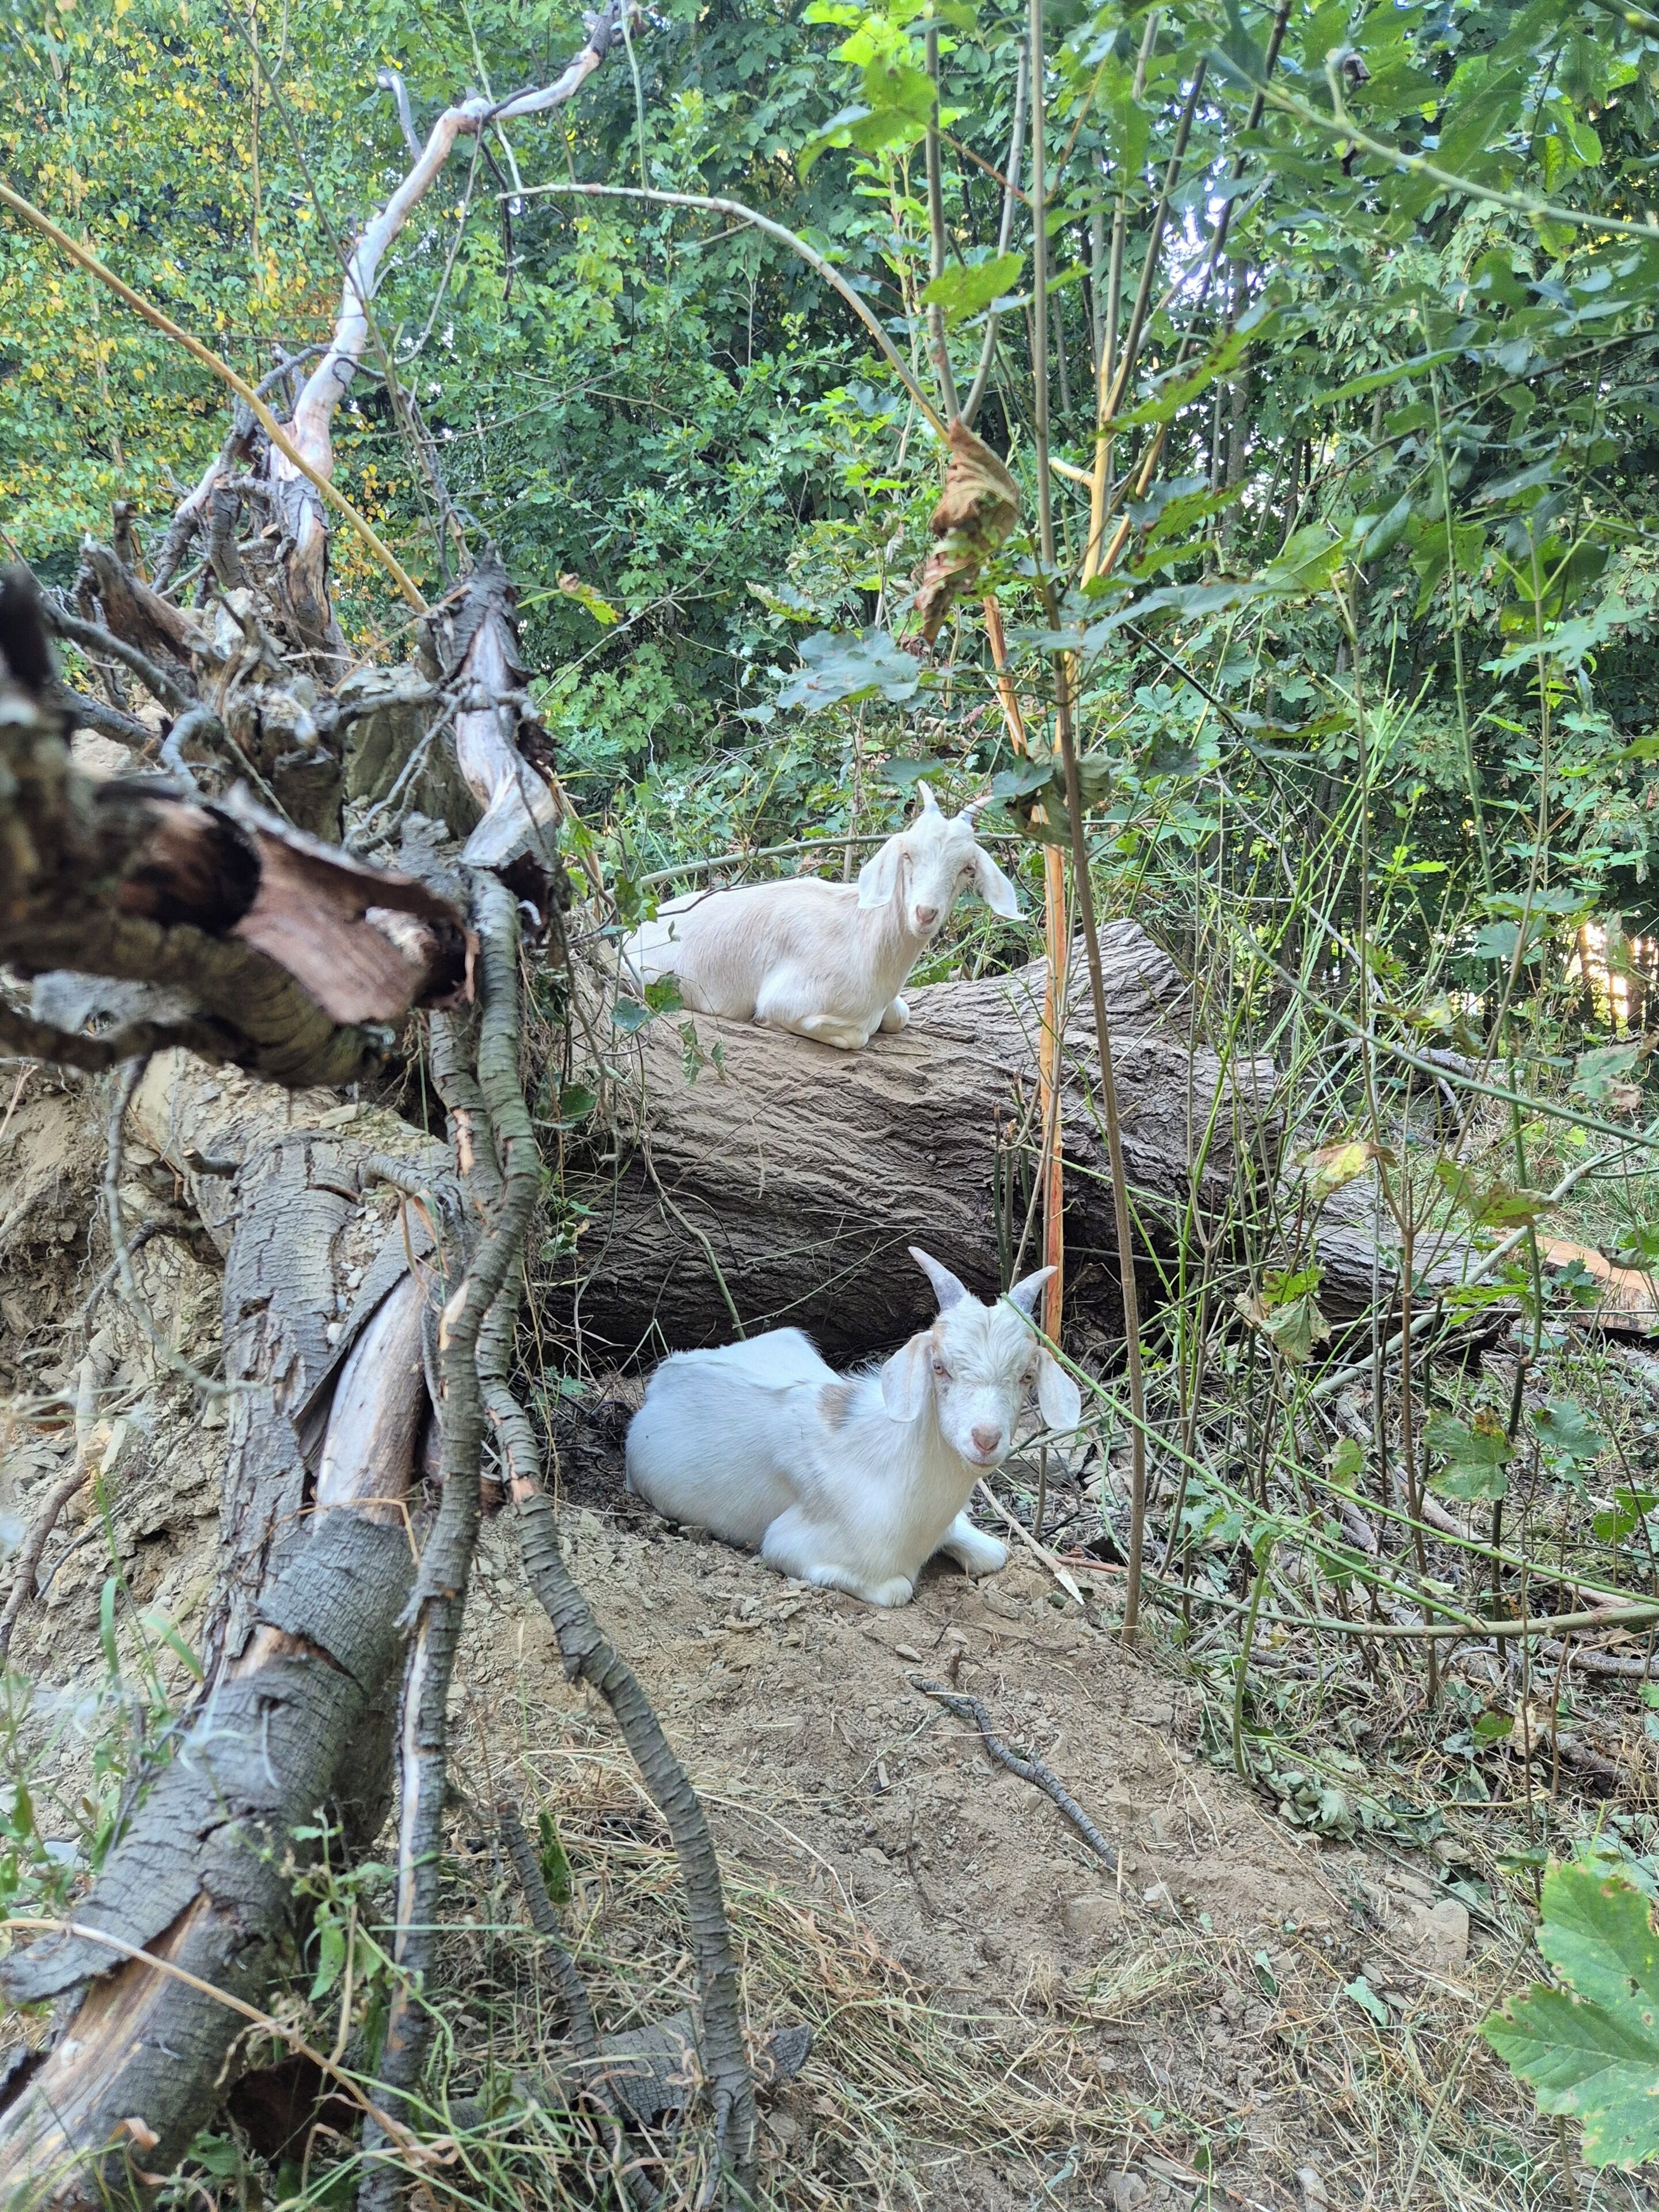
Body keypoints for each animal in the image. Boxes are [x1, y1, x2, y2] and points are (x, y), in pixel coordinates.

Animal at [621, 786, 1020, 1051]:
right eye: (908, 854)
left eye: (968, 868)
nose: (925, 913)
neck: (868, 945)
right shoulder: (790, 1000)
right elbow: (857, 1036)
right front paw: (768, 1024)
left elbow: (900, 1015)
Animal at [623, 1247, 1084, 1606]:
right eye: (939, 1367)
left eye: (1026, 1375)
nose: (986, 1439)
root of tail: (668, 1368)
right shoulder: (790, 1545)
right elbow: (897, 1589)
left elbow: (994, 1553)